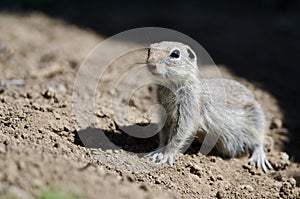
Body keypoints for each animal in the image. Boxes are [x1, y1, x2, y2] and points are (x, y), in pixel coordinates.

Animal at [145, 40, 272, 173]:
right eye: (149, 50)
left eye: (175, 54)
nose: (151, 64)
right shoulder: (164, 110)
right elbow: (164, 133)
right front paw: (157, 151)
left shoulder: (189, 107)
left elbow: (180, 134)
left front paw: (167, 155)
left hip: (257, 118)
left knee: (258, 141)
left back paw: (259, 157)